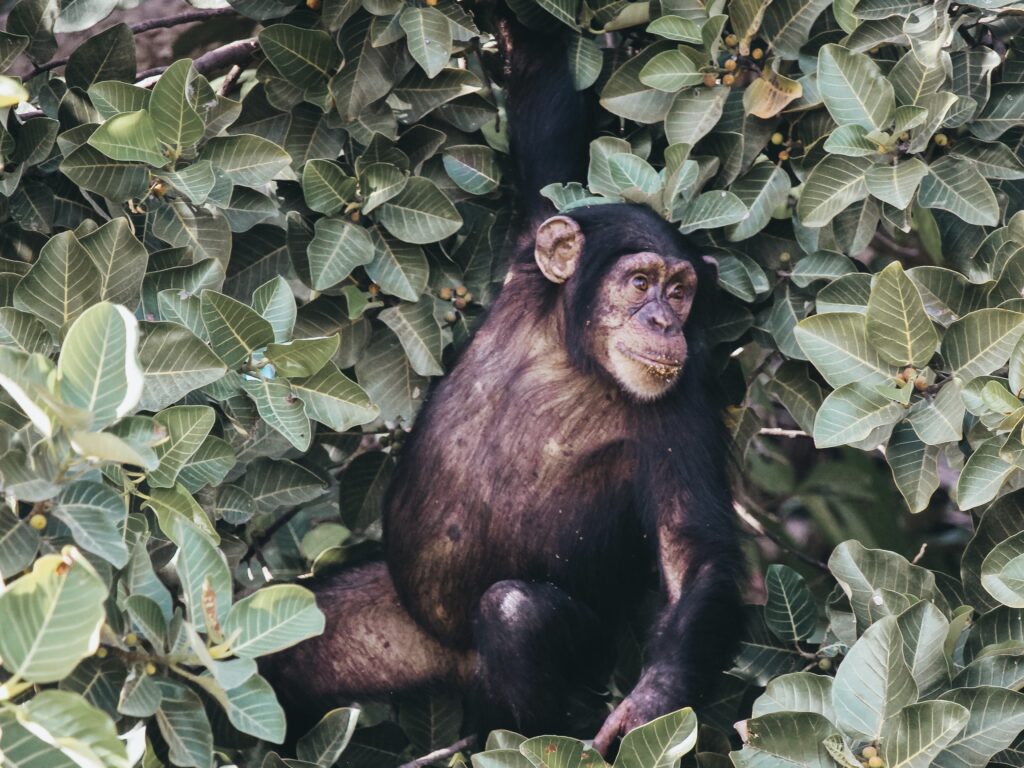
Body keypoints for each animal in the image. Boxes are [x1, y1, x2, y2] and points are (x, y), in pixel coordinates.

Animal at [262, 14, 746, 756]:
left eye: (681, 290)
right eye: (641, 283)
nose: (666, 322)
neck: (570, 354)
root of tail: (452, 654)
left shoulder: (682, 402)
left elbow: (693, 550)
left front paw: (652, 702)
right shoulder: (531, 250)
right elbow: (548, 128)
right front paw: (519, 28)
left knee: (516, 613)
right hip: (392, 620)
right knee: (279, 638)